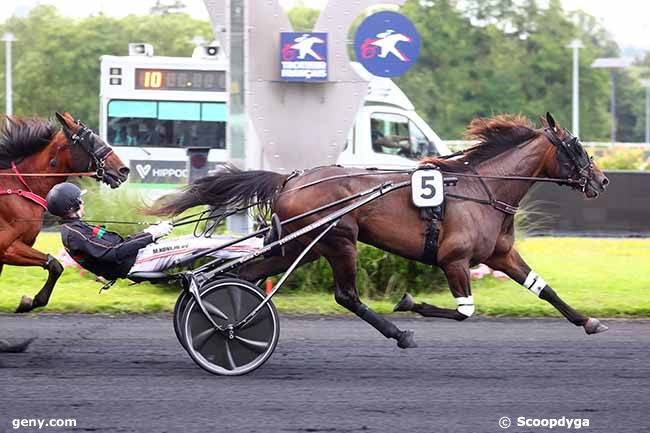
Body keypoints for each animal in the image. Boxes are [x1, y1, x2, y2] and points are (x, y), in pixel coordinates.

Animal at [0, 111, 129, 348]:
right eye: (91, 138)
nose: (123, 170)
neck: (18, 188)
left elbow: (55, 266)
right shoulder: (7, 248)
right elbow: (55, 265)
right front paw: (30, 301)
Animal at [151, 112, 608, 348]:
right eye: (576, 147)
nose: (602, 180)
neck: (483, 189)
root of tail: (289, 179)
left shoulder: (500, 255)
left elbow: (543, 289)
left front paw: (588, 321)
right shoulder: (454, 260)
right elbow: (464, 311)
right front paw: (409, 303)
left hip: (298, 246)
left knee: (243, 276)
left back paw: (222, 321)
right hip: (338, 241)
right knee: (346, 295)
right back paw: (399, 333)